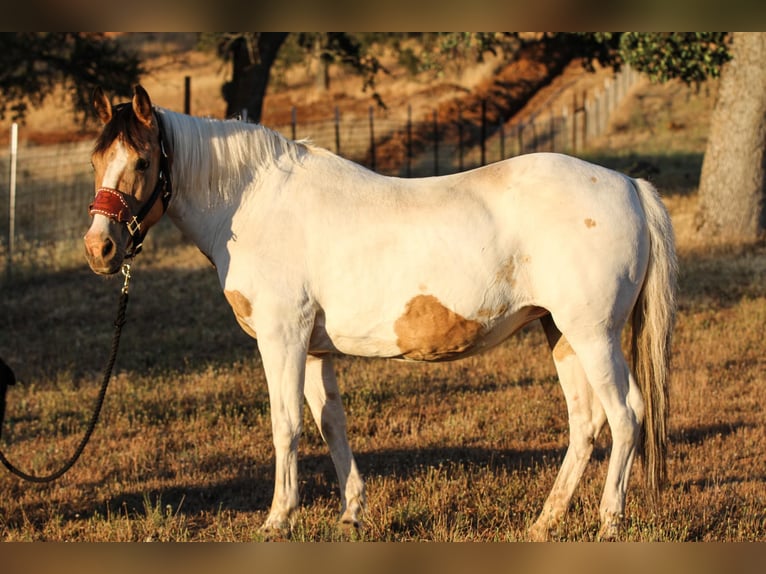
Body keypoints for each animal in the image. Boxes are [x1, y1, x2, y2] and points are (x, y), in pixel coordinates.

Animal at [84, 85, 677, 540]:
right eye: (95, 160)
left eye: (142, 161)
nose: (99, 249)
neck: (254, 204)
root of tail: (629, 186)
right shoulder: (314, 348)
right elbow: (331, 425)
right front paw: (352, 515)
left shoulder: (283, 339)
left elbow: (285, 424)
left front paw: (278, 520)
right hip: (561, 333)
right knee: (586, 423)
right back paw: (544, 523)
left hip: (593, 334)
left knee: (626, 415)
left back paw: (608, 523)